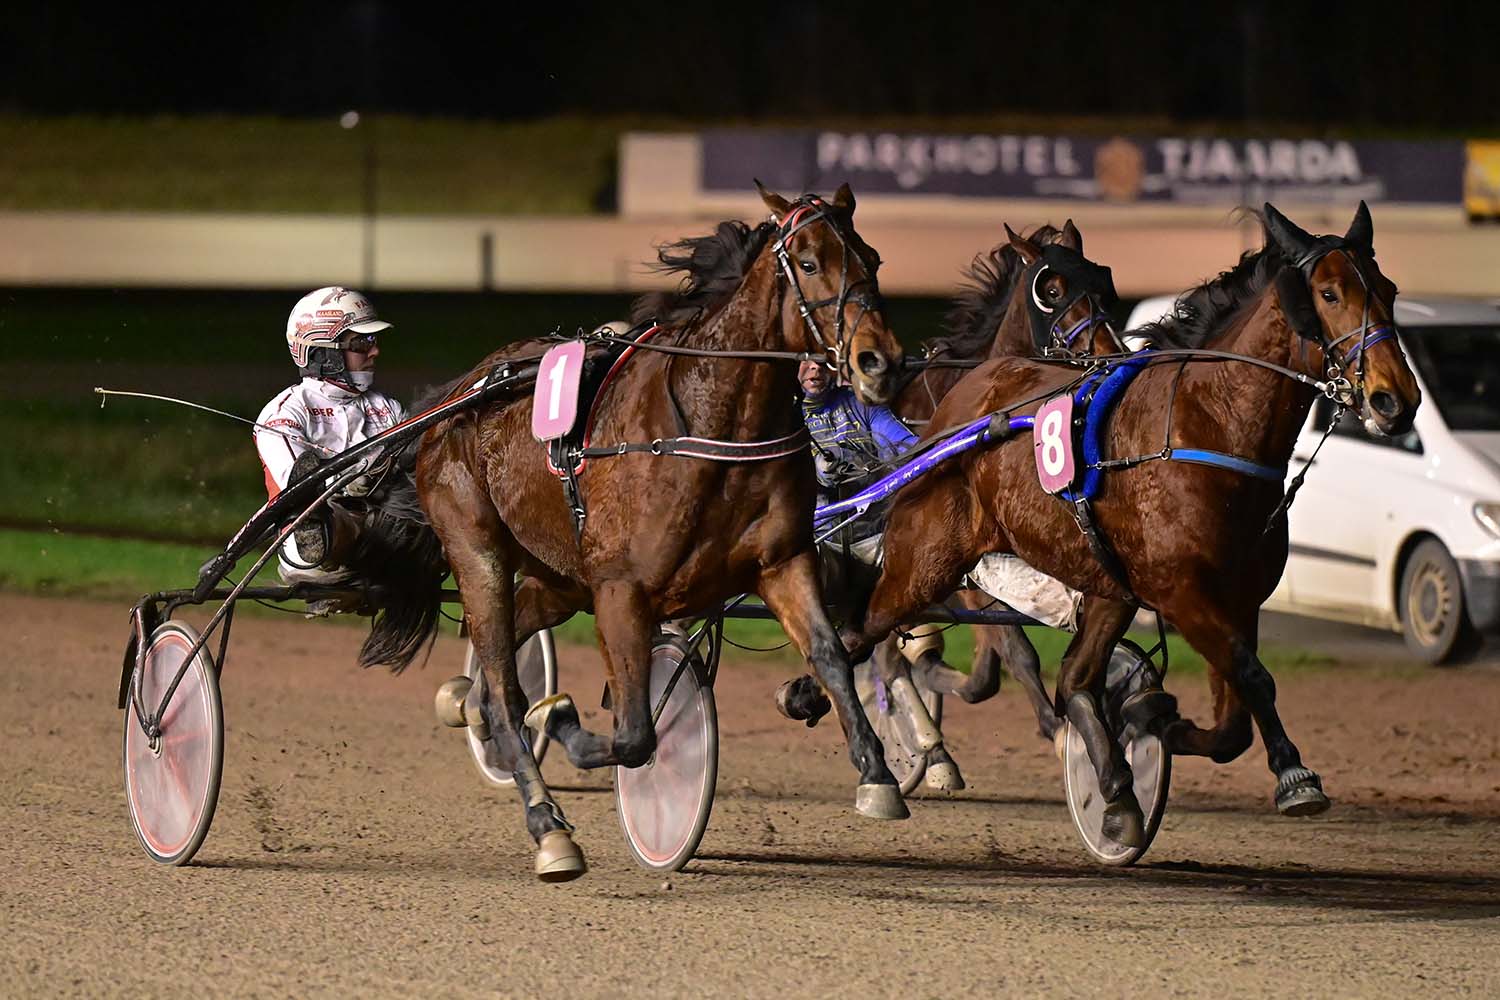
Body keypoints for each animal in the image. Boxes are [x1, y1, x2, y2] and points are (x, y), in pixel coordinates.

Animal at [400, 183, 908, 881]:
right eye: (808, 263)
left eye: (874, 259)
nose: (880, 362)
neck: (710, 427)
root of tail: (459, 394)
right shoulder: (621, 591)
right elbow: (636, 734)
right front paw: (563, 719)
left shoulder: (782, 561)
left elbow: (829, 652)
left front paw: (877, 772)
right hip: (478, 550)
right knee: (503, 687)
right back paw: (549, 829)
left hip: (561, 577)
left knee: (502, 659)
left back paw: (464, 702)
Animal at [847, 201, 1420, 845]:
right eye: (1328, 292)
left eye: (1388, 291)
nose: (1395, 399)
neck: (1208, 424)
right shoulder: (1182, 592)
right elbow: (1253, 679)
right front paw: (1295, 777)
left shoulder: (1236, 599)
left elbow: (1231, 718)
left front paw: (1147, 720)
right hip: (934, 560)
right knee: (873, 638)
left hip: (1102, 582)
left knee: (1072, 677)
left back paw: (1114, 790)